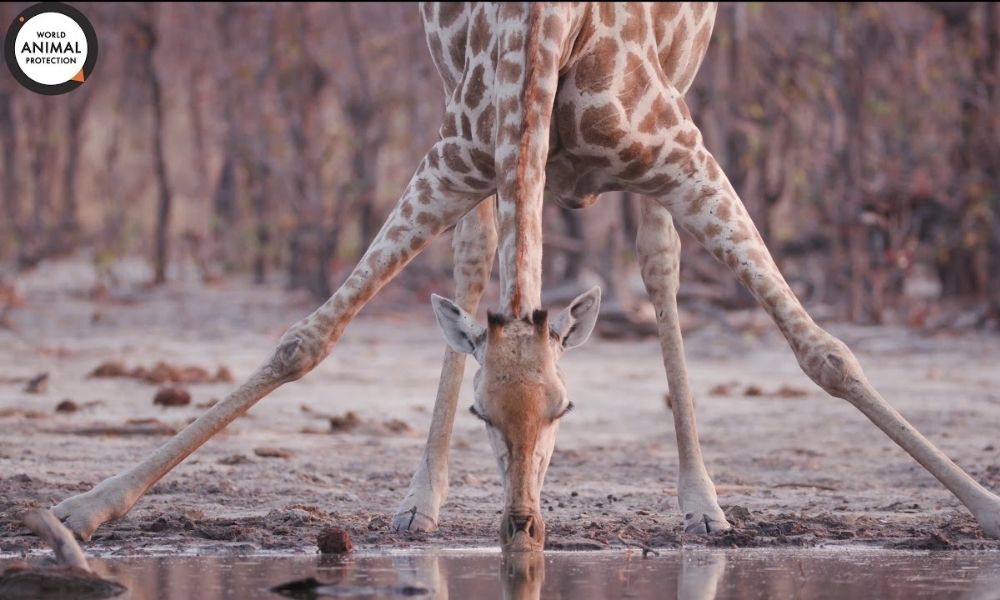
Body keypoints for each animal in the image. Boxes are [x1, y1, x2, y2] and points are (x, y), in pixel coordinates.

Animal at [49, 3, 1000, 553]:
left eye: (568, 410)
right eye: (481, 413)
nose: (521, 525)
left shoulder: (681, 150)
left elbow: (825, 352)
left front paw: (985, 507)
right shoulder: (456, 151)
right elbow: (305, 339)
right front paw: (84, 511)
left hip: (680, 95)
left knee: (660, 270)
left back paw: (702, 505)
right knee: (476, 262)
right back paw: (421, 505)